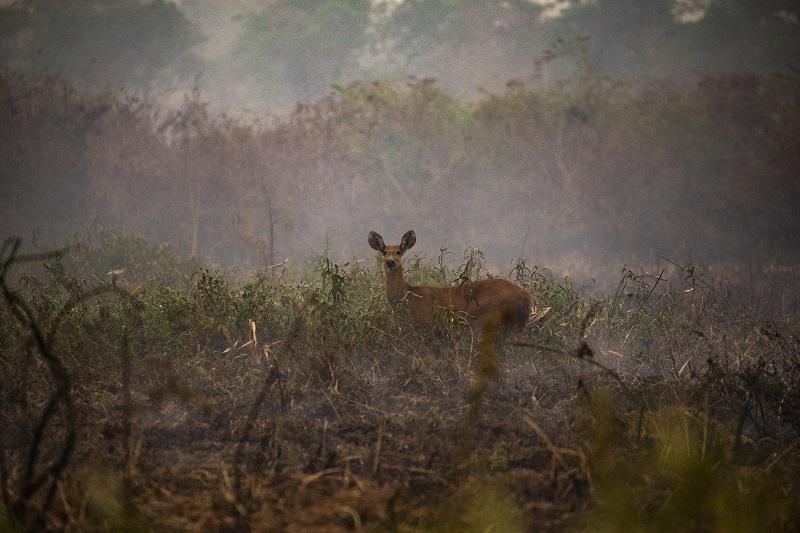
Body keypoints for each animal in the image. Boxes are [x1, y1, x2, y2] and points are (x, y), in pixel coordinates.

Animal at [368, 231, 532, 348]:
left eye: (398, 252)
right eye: (384, 252)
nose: (390, 262)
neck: (408, 296)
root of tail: (525, 296)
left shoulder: (425, 325)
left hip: (484, 318)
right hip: (518, 326)